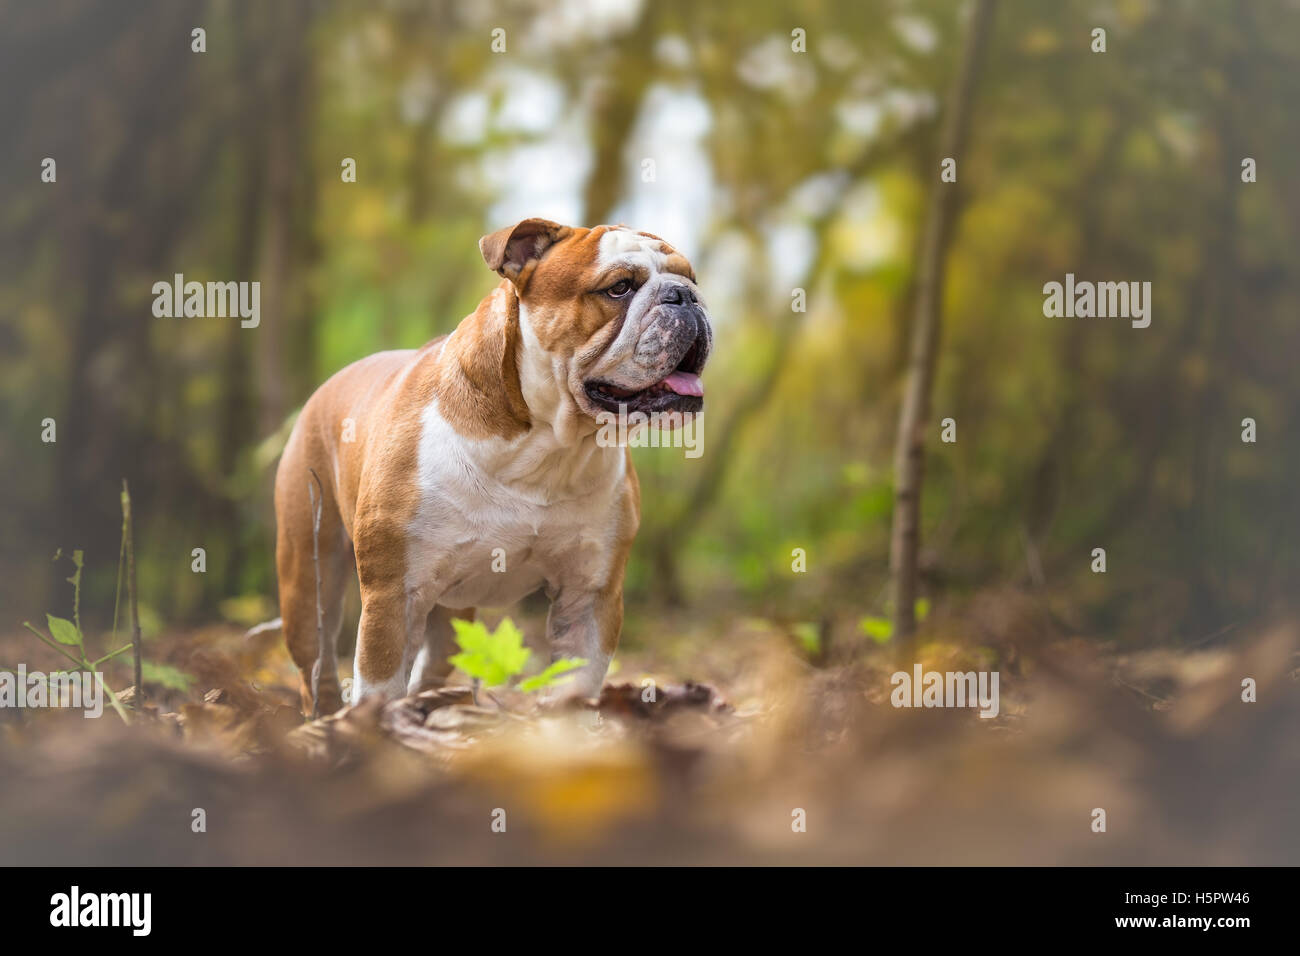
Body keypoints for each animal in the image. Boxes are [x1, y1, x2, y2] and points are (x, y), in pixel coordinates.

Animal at [271, 214, 712, 712]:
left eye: (692, 279)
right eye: (619, 287)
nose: (686, 296)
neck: (545, 448)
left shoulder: (590, 596)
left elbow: (575, 688)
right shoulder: (393, 596)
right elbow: (379, 688)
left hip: (450, 614)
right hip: (308, 581)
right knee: (318, 665)